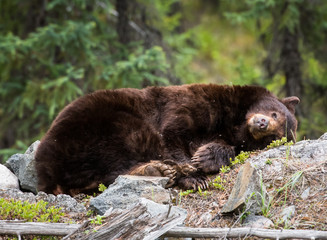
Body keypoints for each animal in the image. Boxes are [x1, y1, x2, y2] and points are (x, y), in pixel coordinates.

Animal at [35, 83, 300, 196]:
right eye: (275, 113)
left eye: (274, 137)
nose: (262, 123)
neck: (233, 121)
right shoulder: (193, 103)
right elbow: (173, 134)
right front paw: (194, 176)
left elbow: (226, 148)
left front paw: (206, 158)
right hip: (101, 124)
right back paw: (159, 169)